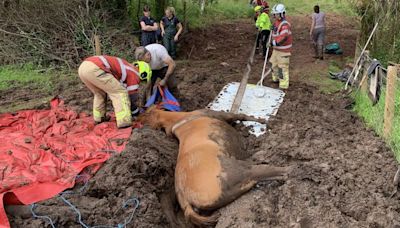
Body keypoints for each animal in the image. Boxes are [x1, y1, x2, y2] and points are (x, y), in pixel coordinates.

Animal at [139, 107, 290, 226]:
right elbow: (242, 115)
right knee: (269, 171)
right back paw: (291, 170)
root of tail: (184, 197)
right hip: (236, 173)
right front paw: (269, 122)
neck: (178, 119)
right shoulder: (220, 114)